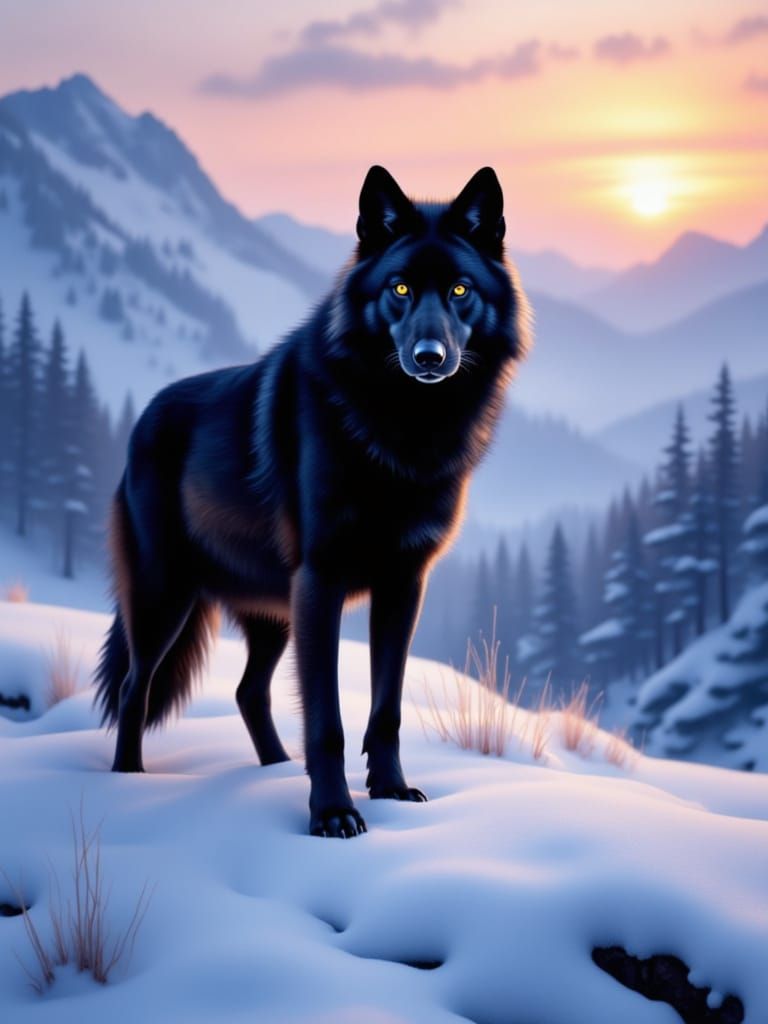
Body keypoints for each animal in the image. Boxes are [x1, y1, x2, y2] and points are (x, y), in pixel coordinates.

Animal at [94, 165, 530, 837]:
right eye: (400, 288)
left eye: (460, 289)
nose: (429, 358)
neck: (404, 431)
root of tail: (141, 419)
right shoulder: (321, 580)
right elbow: (327, 720)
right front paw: (333, 814)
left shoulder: (402, 586)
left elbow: (386, 707)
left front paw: (391, 790)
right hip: (166, 600)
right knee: (134, 690)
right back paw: (127, 783)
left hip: (273, 611)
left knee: (249, 692)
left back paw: (273, 768)